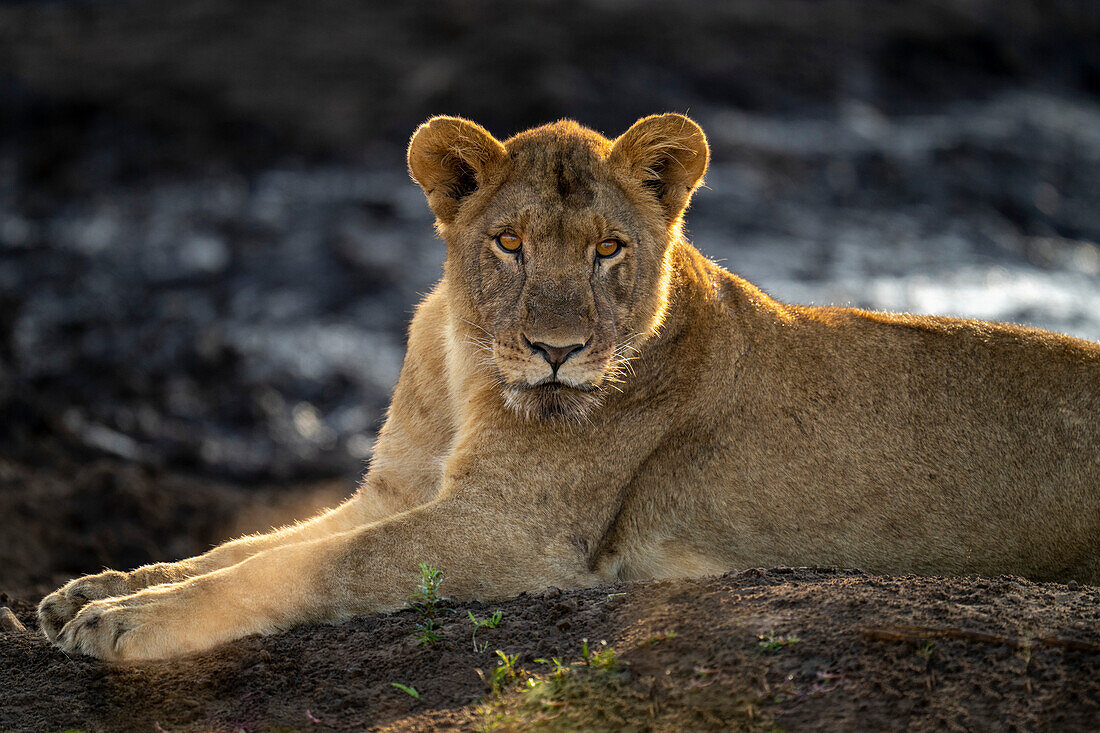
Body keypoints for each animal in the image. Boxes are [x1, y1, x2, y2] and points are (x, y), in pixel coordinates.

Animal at [36, 111, 1100, 660]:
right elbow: (250, 544)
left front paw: (126, 621)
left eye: (606, 250)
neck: (468, 367)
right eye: (509, 242)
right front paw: (98, 586)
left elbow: (311, 565)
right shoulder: (397, 491)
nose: (555, 351)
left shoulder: (514, 531)